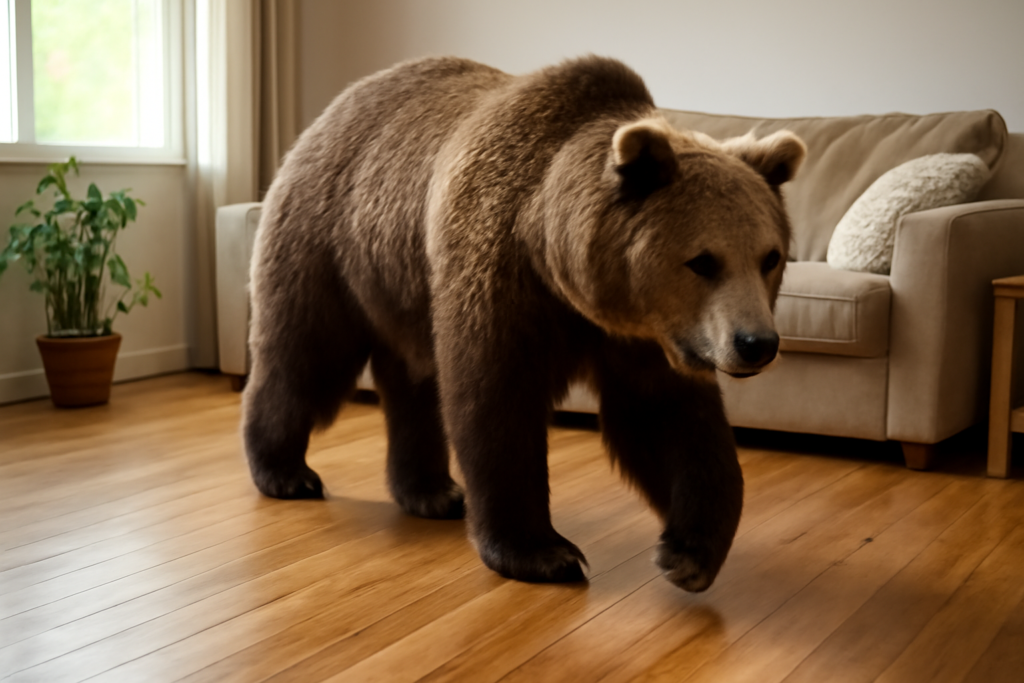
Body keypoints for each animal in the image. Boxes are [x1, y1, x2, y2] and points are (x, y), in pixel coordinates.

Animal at [243, 55, 806, 592]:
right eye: (703, 261)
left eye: (769, 256)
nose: (756, 343)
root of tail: (335, 107)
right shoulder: (502, 275)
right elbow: (497, 399)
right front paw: (544, 553)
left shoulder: (644, 334)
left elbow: (666, 418)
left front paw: (688, 553)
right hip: (334, 242)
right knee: (307, 354)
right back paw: (286, 472)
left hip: (402, 286)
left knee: (411, 382)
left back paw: (432, 492)